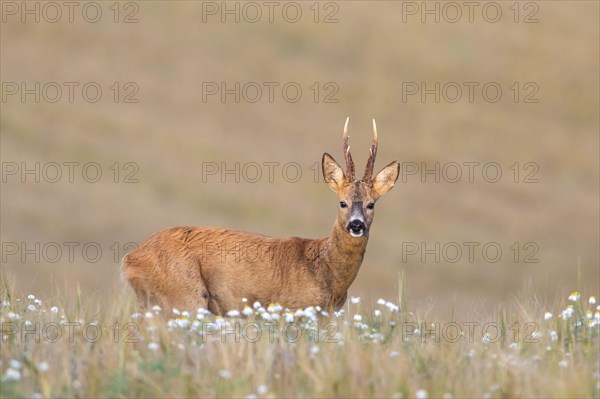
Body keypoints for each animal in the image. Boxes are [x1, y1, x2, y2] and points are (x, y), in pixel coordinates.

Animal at [123, 119, 398, 316]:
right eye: (342, 202)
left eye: (371, 204)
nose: (356, 224)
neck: (325, 273)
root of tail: (130, 259)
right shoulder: (294, 309)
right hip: (183, 296)